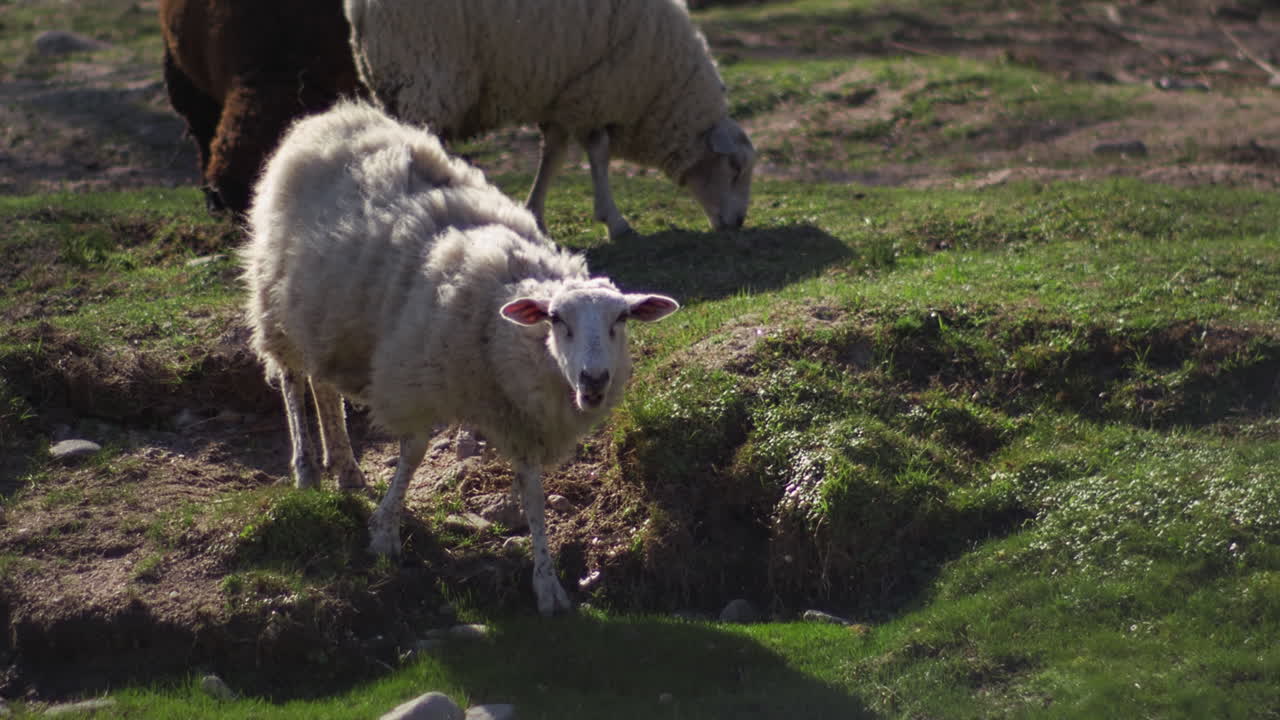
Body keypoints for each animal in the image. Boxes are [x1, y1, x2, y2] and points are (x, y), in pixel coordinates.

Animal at [241, 101, 680, 615]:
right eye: (556, 320)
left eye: (621, 320)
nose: (593, 381)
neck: (498, 320)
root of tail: (331, 116)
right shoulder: (413, 377)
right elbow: (413, 452)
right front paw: (384, 532)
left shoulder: (518, 418)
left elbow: (533, 496)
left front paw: (547, 584)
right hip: (276, 305)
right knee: (293, 381)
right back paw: (307, 469)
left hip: (325, 318)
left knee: (324, 387)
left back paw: (346, 468)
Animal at [343, 0, 756, 240]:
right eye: (735, 168)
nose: (738, 224)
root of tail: (360, 9)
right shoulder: (596, 91)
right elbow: (598, 154)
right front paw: (615, 222)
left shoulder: (563, 95)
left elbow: (553, 155)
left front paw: (535, 213)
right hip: (425, 71)